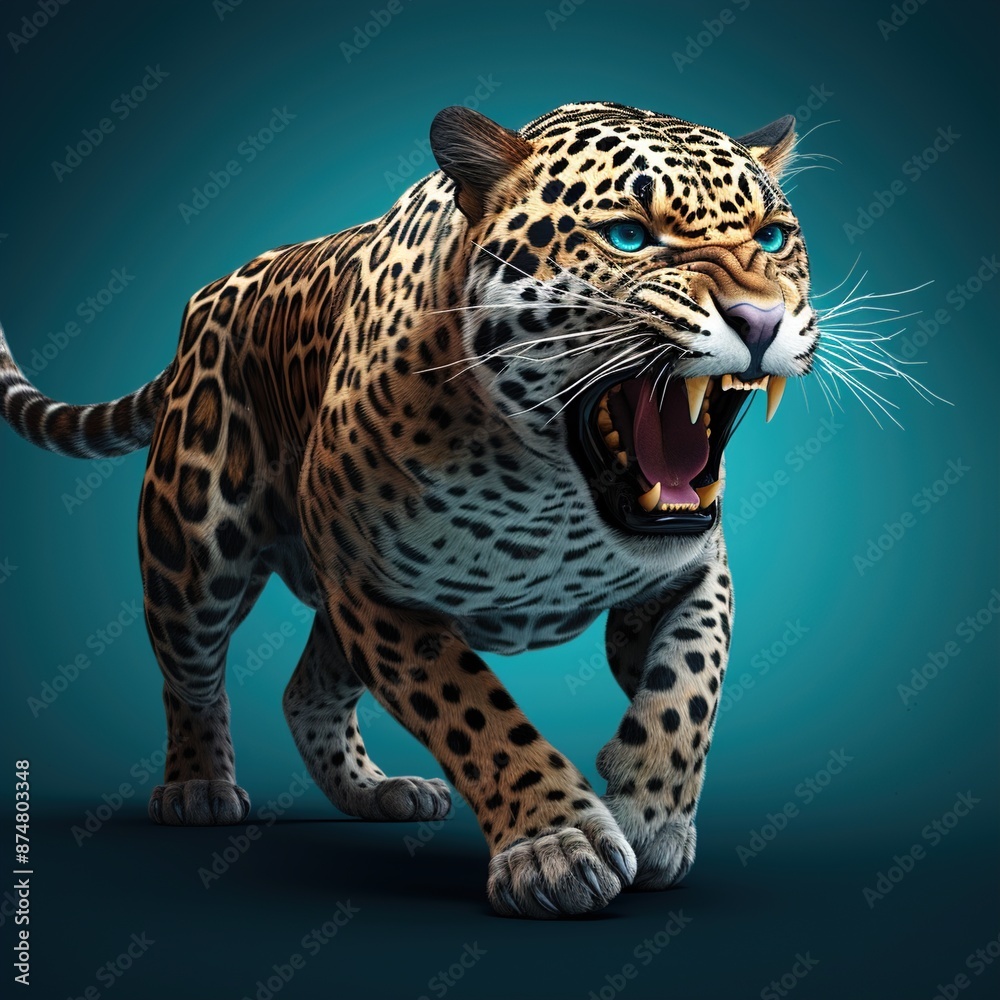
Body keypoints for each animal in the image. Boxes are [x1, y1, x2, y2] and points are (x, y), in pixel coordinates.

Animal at [0, 101, 817, 919]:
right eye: (628, 236)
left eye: (773, 238)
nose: (759, 321)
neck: (554, 502)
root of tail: (209, 297)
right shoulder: (378, 599)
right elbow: (476, 715)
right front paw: (555, 846)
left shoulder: (692, 575)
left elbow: (688, 688)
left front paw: (650, 818)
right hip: (194, 557)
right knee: (190, 678)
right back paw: (197, 785)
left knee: (305, 694)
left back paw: (379, 791)